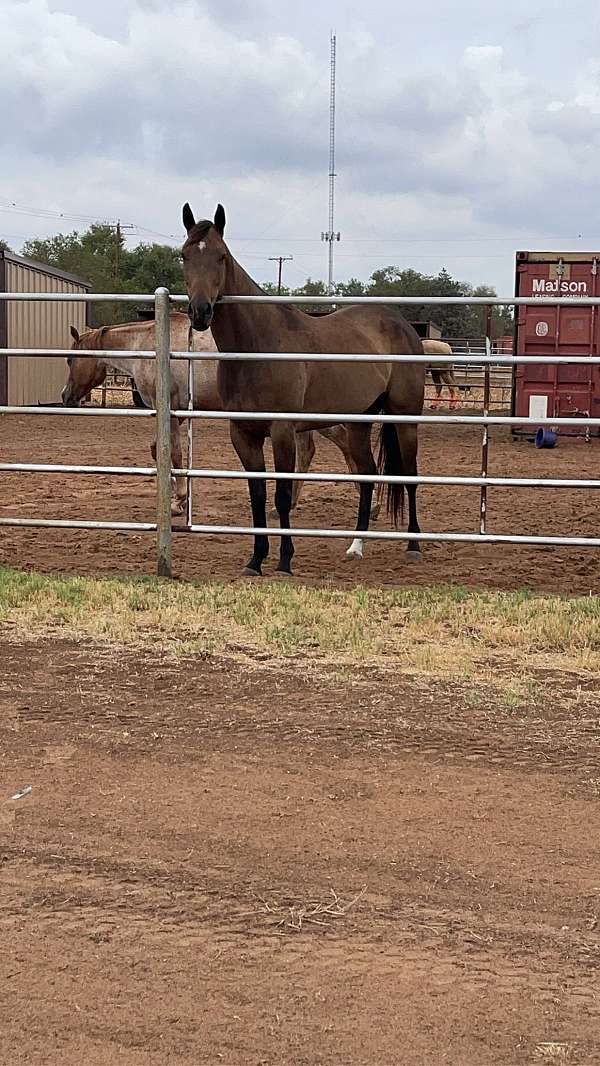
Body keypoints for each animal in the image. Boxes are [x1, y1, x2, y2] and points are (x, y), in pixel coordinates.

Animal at [62, 311, 379, 522]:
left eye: (70, 358)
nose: (66, 396)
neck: (149, 346)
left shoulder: (171, 411)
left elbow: (174, 453)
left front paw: (178, 502)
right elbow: (159, 451)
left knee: (336, 445)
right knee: (315, 449)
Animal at [181, 203, 424, 579]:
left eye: (221, 256)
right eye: (184, 256)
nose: (200, 311)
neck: (259, 347)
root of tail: (401, 325)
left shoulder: (282, 431)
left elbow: (281, 496)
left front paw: (284, 561)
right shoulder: (243, 434)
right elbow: (257, 495)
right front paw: (255, 560)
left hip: (405, 417)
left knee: (410, 476)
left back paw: (413, 545)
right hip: (358, 423)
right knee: (367, 476)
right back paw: (356, 546)